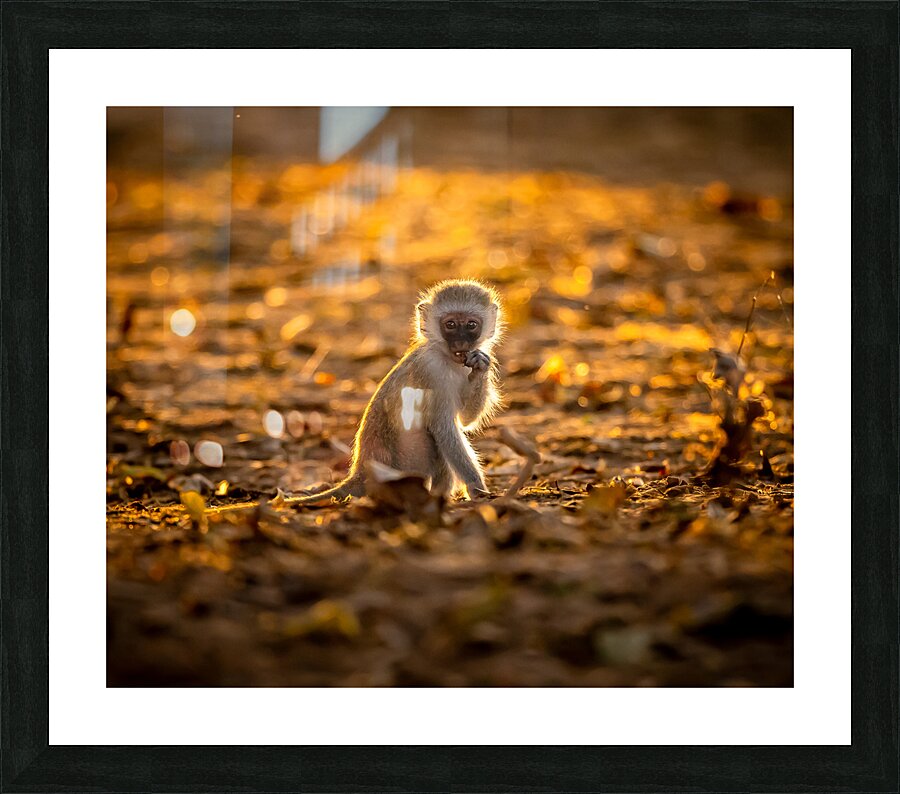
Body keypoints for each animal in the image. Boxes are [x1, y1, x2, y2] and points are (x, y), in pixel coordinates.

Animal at [292, 279, 503, 504]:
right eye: (451, 325)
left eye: (471, 325)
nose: (461, 343)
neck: (446, 358)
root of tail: (361, 472)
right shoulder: (430, 371)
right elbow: (444, 428)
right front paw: (477, 489)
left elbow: (465, 420)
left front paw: (480, 367)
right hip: (404, 464)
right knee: (432, 434)